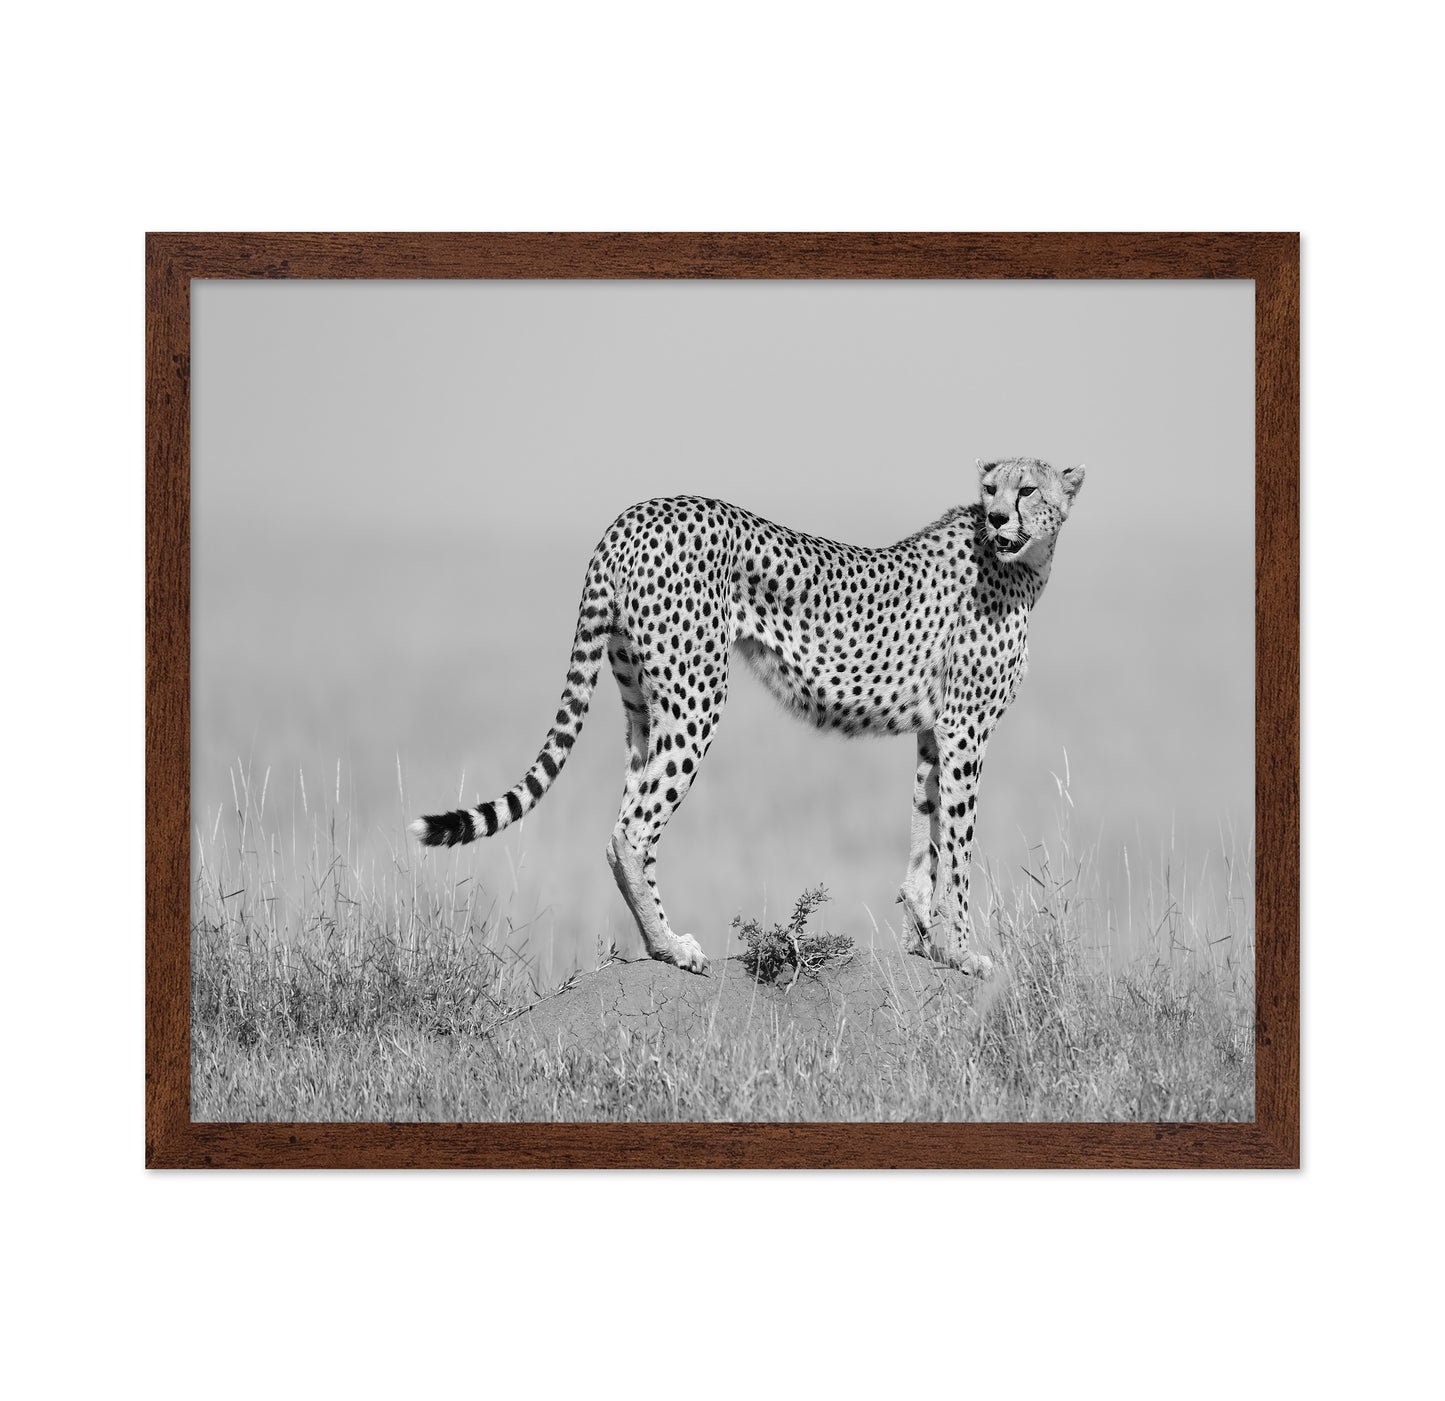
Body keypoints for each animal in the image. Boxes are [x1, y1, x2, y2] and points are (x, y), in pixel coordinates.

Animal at [412, 456, 1084, 976]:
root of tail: (634, 514)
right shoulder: (965, 730)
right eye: (991, 490)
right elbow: (960, 845)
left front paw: (927, 937)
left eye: (1027, 490)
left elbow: (927, 831)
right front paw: (964, 951)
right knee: (633, 830)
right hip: (697, 696)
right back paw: (672, 948)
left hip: (643, 704)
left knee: (623, 822)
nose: (997, 518)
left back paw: (658, 943)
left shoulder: (932, 730)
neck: (1023, 563)